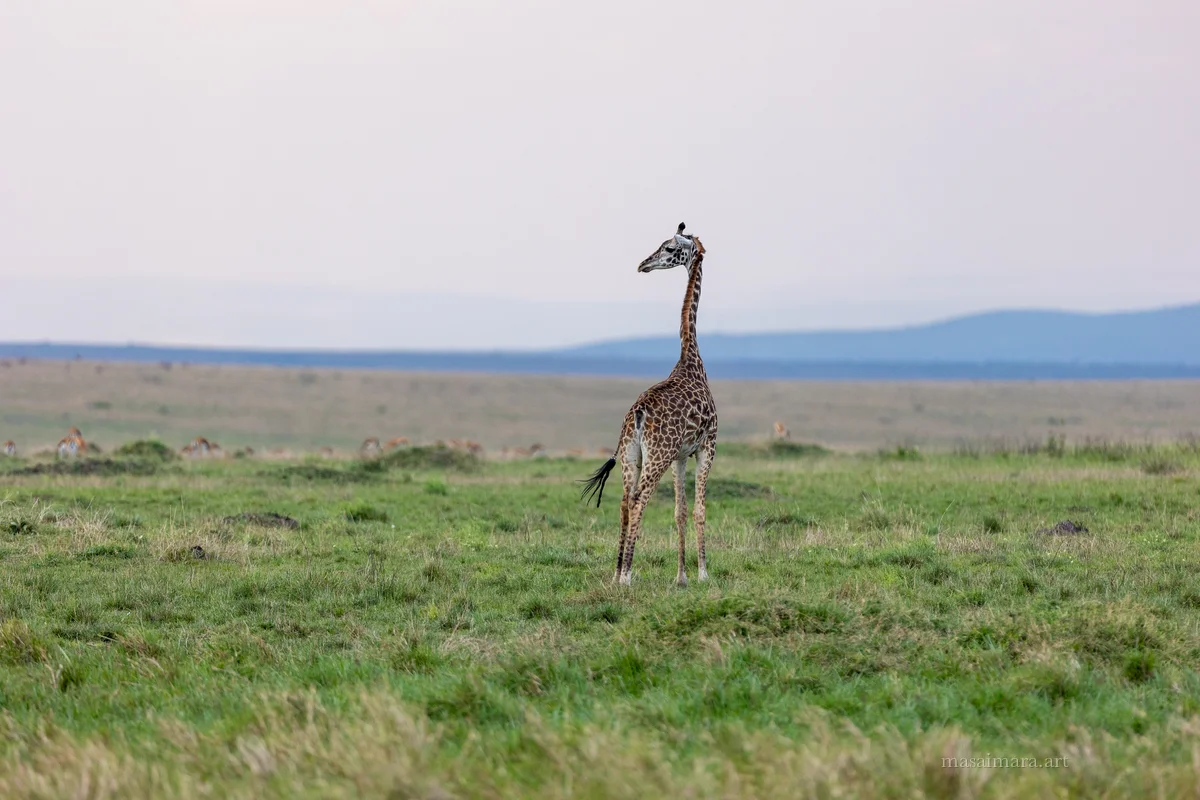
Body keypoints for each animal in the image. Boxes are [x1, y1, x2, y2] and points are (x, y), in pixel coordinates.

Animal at [580, 223, 717, 587]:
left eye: (669, 248)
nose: (643, 264)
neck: (691, 359)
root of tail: (638, 415)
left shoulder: (681, 455)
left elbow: (680, 511)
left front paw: (681, 577)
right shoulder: (707, 446)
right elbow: (699, 509)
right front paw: (702, 573)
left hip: (632, 454)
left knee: (625, 500)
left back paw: (616, 573)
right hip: (656, 456)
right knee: (640, 499)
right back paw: (627, 575)